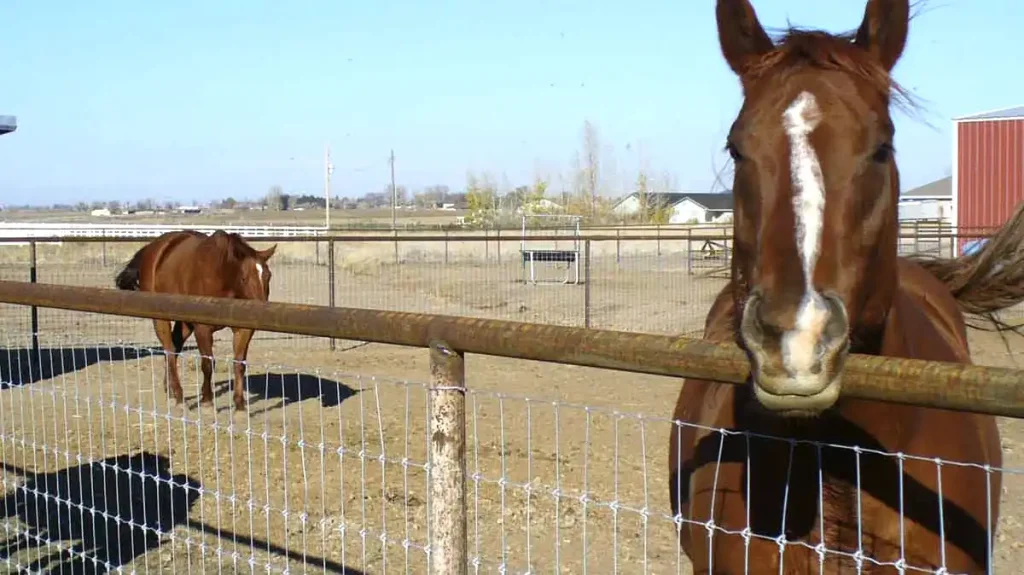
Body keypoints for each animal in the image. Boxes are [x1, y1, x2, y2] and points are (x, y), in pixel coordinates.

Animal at [114, 229, 277, 412]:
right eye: (244, 278)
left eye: (268, 276)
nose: (262, 312)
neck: (220, 275)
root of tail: (153, 247)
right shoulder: (202, 328)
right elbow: (207, 364)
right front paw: (207, 401)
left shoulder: (243, 329)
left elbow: (239, 364)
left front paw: (240, 405)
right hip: (161, 318)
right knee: (169, 349)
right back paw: (179, 397)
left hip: (184, 322)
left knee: (174, 347)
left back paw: (170, 390)